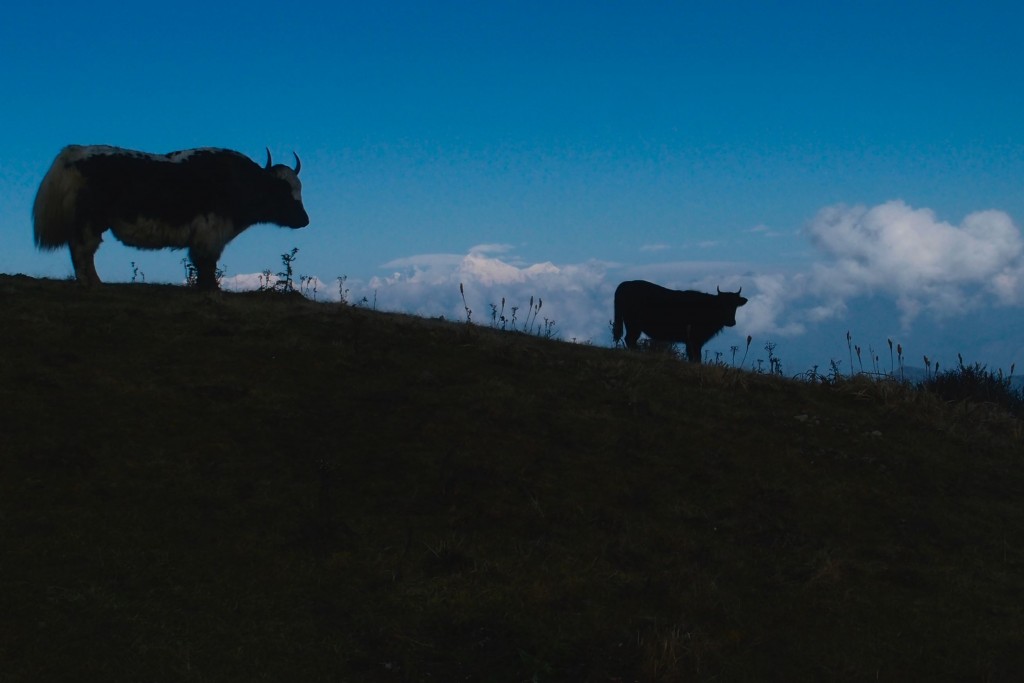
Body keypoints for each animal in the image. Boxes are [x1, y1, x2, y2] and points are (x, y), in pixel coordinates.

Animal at [32, 145, 310, 290]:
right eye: (282, 190)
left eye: (300, 188)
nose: (304, 220)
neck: (240, 181)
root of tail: (74, 153)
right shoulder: (210, 233)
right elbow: (207, 265)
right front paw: (211, 290)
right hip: (91, 221)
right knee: (83, 250)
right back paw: (93, 284)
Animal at [612, 280, 748, 362]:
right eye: (721, 305)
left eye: (735, 305)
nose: (730, 321)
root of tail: (626, 284)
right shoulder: (694, 339)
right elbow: (696, 356)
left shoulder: (693, 340)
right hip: (633, 324)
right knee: (630, 339)